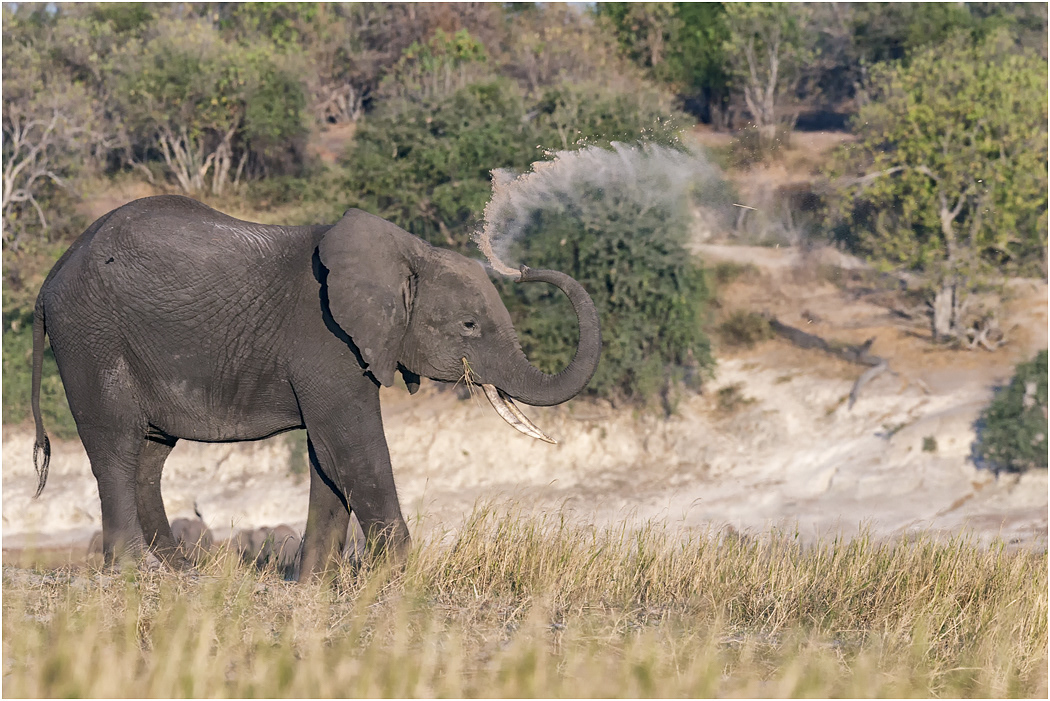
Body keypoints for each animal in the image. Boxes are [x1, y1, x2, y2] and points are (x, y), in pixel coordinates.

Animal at [30, 195, 600, 580]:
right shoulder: (326, 338)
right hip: (92, 337)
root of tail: (51, 277)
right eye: (469, 326)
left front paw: (314, 585)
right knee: (117, 445)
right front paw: (395, 579)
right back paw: (136, 572)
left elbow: (327, 455)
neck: (407, 253)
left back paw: (181, 573)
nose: (523, 268)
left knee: (150, 456)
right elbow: (352, 444)